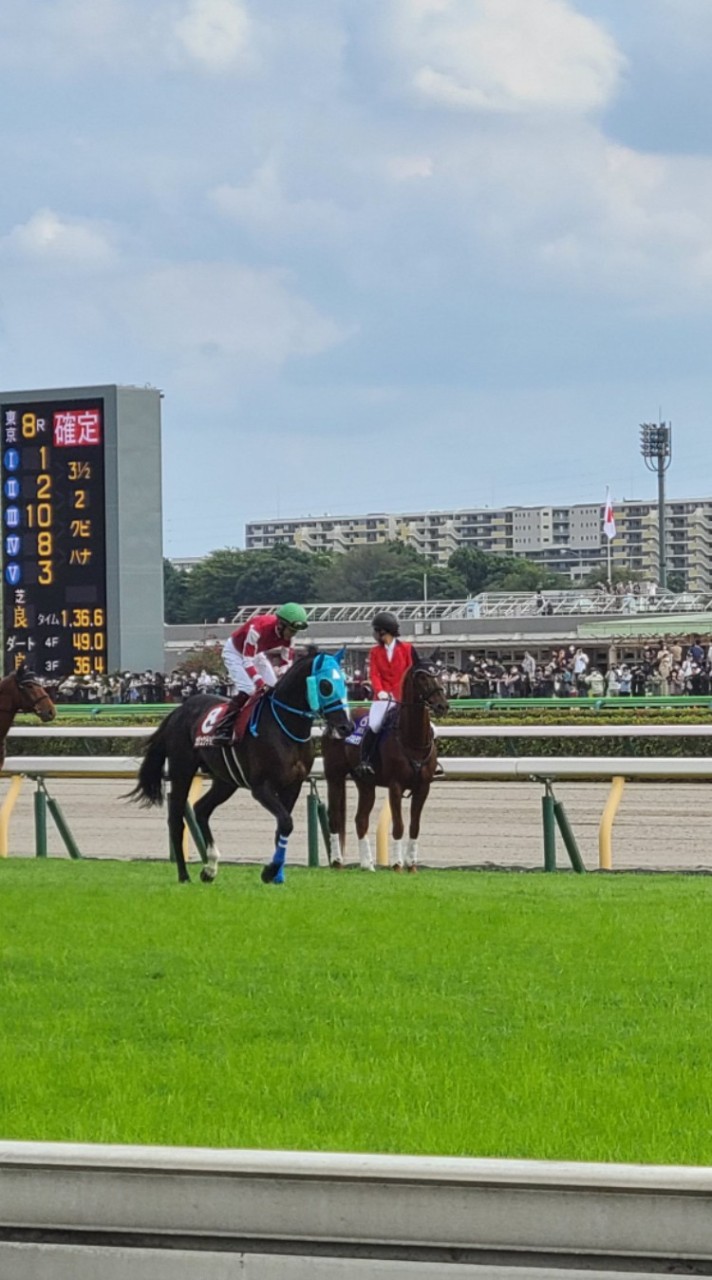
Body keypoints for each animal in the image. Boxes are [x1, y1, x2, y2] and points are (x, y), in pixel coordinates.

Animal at [130, 655, 353, 885]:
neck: (285, 726)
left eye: (345, 683)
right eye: (325, 685)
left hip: (226, 781)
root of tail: (177, 711)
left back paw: (210, 867)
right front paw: (270, 871)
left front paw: (276, 874)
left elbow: (283, 826)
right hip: (182, 770)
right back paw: (184, 875)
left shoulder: (293, 785)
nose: (346, 727)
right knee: (176, 819)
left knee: (201, 808)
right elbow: (285, 822)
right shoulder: (261, 787)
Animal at [321, 660, 448, 870]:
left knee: (360, 819)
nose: (442, 705)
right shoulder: (395, 786)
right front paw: (397, 864)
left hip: (365, 783)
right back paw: (337, 861)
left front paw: (411, 865)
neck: (412, 739)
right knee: (334, 818)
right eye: (422, 677)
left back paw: (368, 865)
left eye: (440, 676)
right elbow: (398, 826)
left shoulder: (423, 788)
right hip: (335, 778)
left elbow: (414, 826)